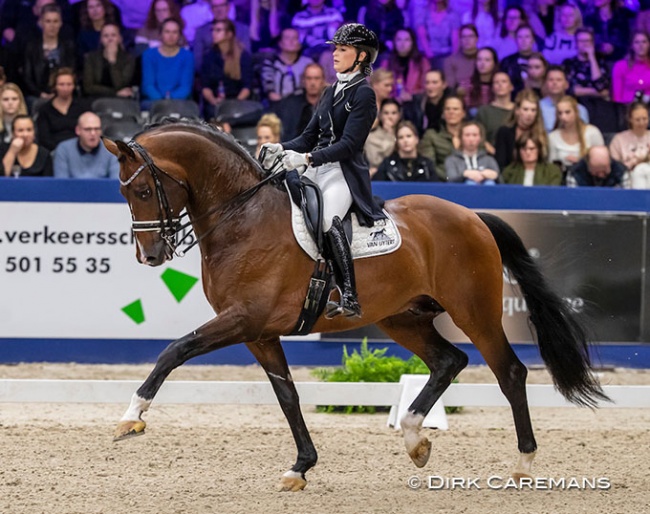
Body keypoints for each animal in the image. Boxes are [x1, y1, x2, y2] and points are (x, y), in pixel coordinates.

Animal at [103, 119, 608, 492]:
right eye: (124, 194)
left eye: (143, 191)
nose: (151, 256)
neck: (242, 217)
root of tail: (471, 216)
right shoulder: (259, 332)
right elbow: (287, 396)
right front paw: (300, 467)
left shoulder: (243, 319)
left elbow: (174, 349)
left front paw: (131, 418)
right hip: (402, 317)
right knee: (449, 360)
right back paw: (415, 439)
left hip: (475, 312)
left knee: (509, 372)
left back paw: (523, 464)